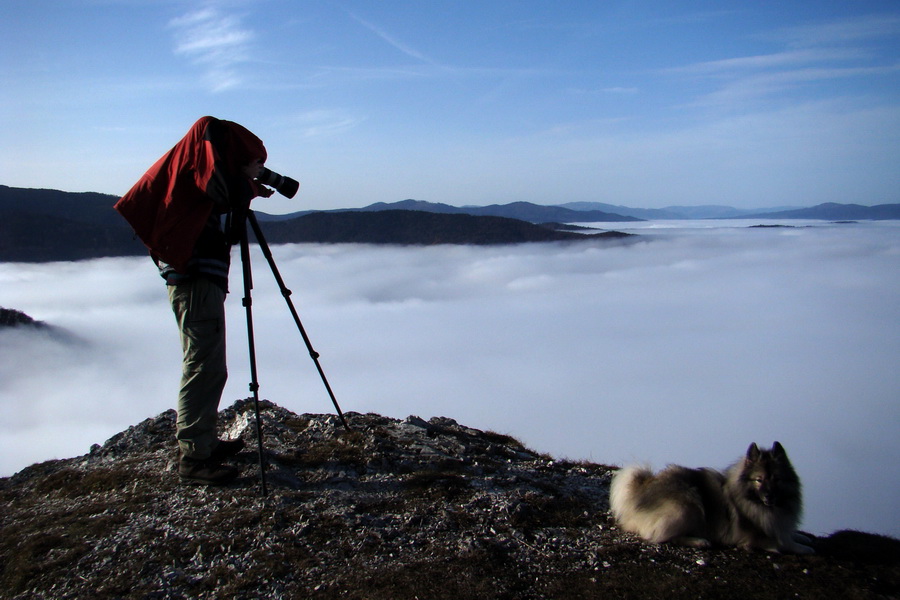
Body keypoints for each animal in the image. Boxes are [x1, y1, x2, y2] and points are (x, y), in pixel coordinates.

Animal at [612, 440, 816, 552]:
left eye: (777, 479)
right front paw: (805, 548)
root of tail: (640, 490)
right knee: (660, 536)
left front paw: (803, 538)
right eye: (759, 480)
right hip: (687, 505)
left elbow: (789, 534)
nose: (769, 497)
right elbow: (783, 544)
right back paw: (699, 541)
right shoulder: (754, 538)